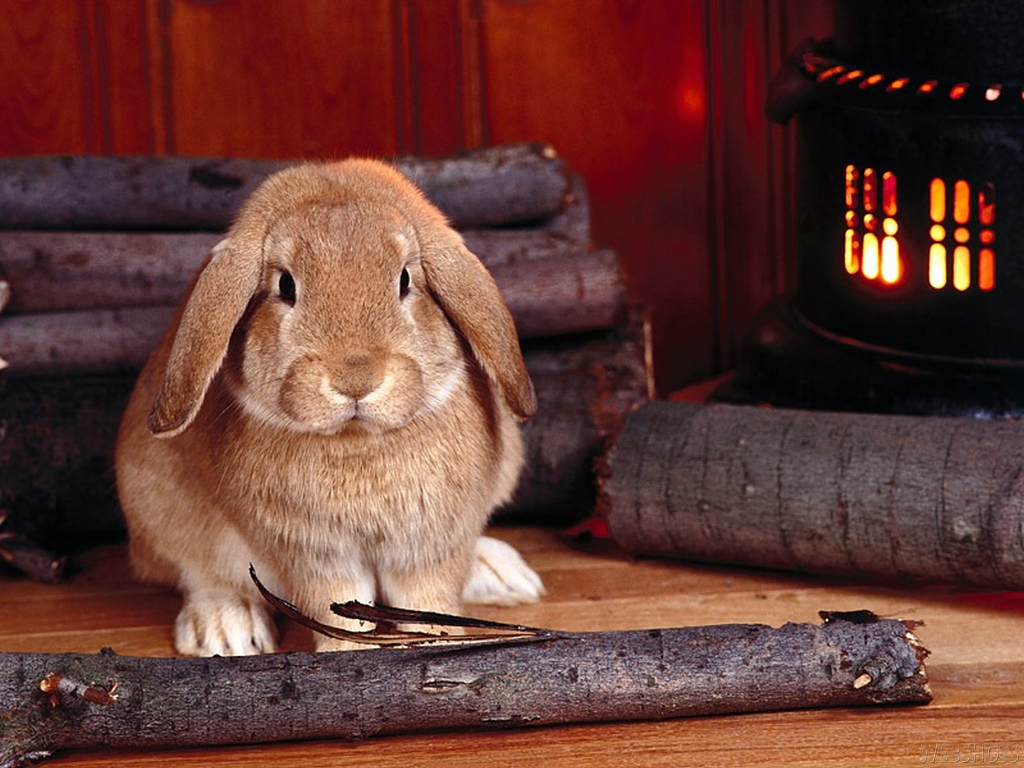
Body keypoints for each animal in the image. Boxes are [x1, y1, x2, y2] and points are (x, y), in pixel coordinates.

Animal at [115, 158, 545, 656]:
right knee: (200, 575)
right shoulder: (313, 554)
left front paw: (442, 644)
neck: (358, 442)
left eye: (405, 280)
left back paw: (503, 575)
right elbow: (337, 608)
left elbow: (428, 599)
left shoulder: (431, 545)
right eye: (285, 285)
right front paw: (348, 655)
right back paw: (226, 630)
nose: (356, 379)